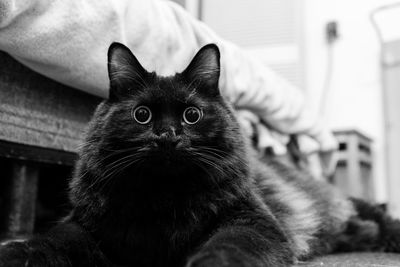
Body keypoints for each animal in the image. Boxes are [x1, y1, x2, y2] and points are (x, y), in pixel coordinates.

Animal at [0, 43, 400, 266]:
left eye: (192, 115)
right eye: (142, 115)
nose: (168, 136)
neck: (163, 199)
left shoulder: (250, 221)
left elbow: (230, 245)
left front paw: (211, 261)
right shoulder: (87, 226)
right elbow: (52, 240)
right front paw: (16, 251)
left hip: (340, 209)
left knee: (376, 213)